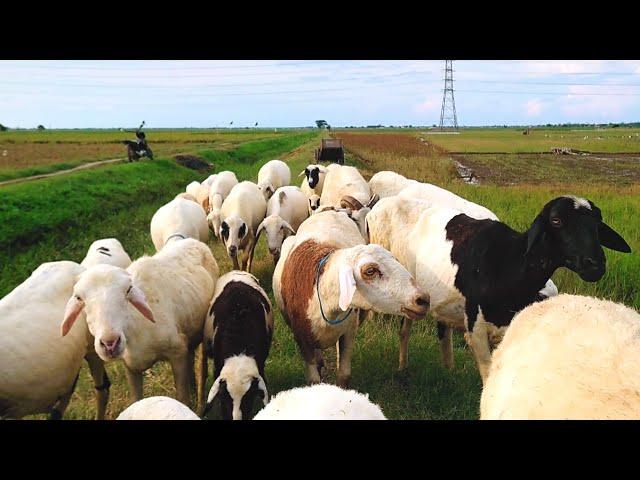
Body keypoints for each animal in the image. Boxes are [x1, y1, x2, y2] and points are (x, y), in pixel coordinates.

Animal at [60, 240, 220, 412]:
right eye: (79, 298)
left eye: (128, 290)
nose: (110, 343)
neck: (135, 327)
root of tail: (192, 241)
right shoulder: (131, 367)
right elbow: (136, 400)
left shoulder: (177, 352)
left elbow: (183, 399)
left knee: (201, 367)